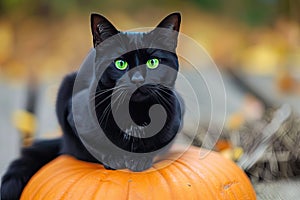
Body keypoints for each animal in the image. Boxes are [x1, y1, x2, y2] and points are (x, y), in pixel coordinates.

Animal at [1, 12, 183, 200]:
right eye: (120, 63)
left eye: (153, 62)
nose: (138, 79)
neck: (133, 112)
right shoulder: (74, 116)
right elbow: (95, 145)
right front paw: (113, 158)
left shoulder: (175, 119)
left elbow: (156, 146)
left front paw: (139, 159)